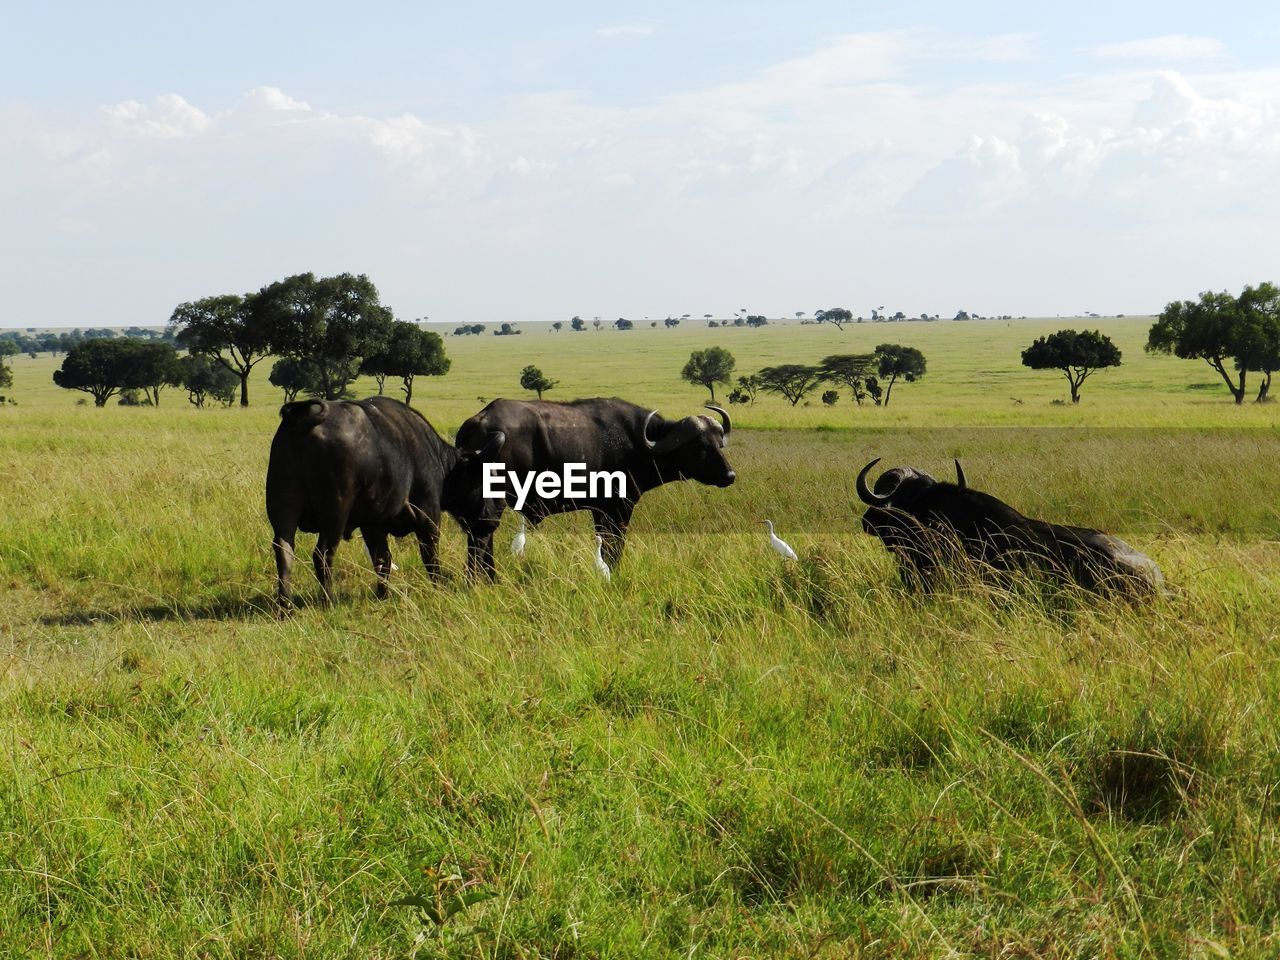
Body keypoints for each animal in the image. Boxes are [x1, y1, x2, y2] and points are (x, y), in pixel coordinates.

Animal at [267, 399, 501, 609]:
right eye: (483, 480)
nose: (492, 521)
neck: (440, 462)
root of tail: (303, 421)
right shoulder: (429, 516)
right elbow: (431, 557)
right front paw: (439, 588)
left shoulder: (373, 525)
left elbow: (382, 560)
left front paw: (382, 595)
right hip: (335, 514)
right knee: (322, 553)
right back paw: (328, 601)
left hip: (283, 507)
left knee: (284, 550)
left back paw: (285, 606)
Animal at [458, 399, 742, 578]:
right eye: (700, 447)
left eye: (719, 443)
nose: (729, 475)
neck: (638, 443)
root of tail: (479, 421)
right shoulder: (616, 509)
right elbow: (613, 546)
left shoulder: (601, 511)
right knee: (481, 537)